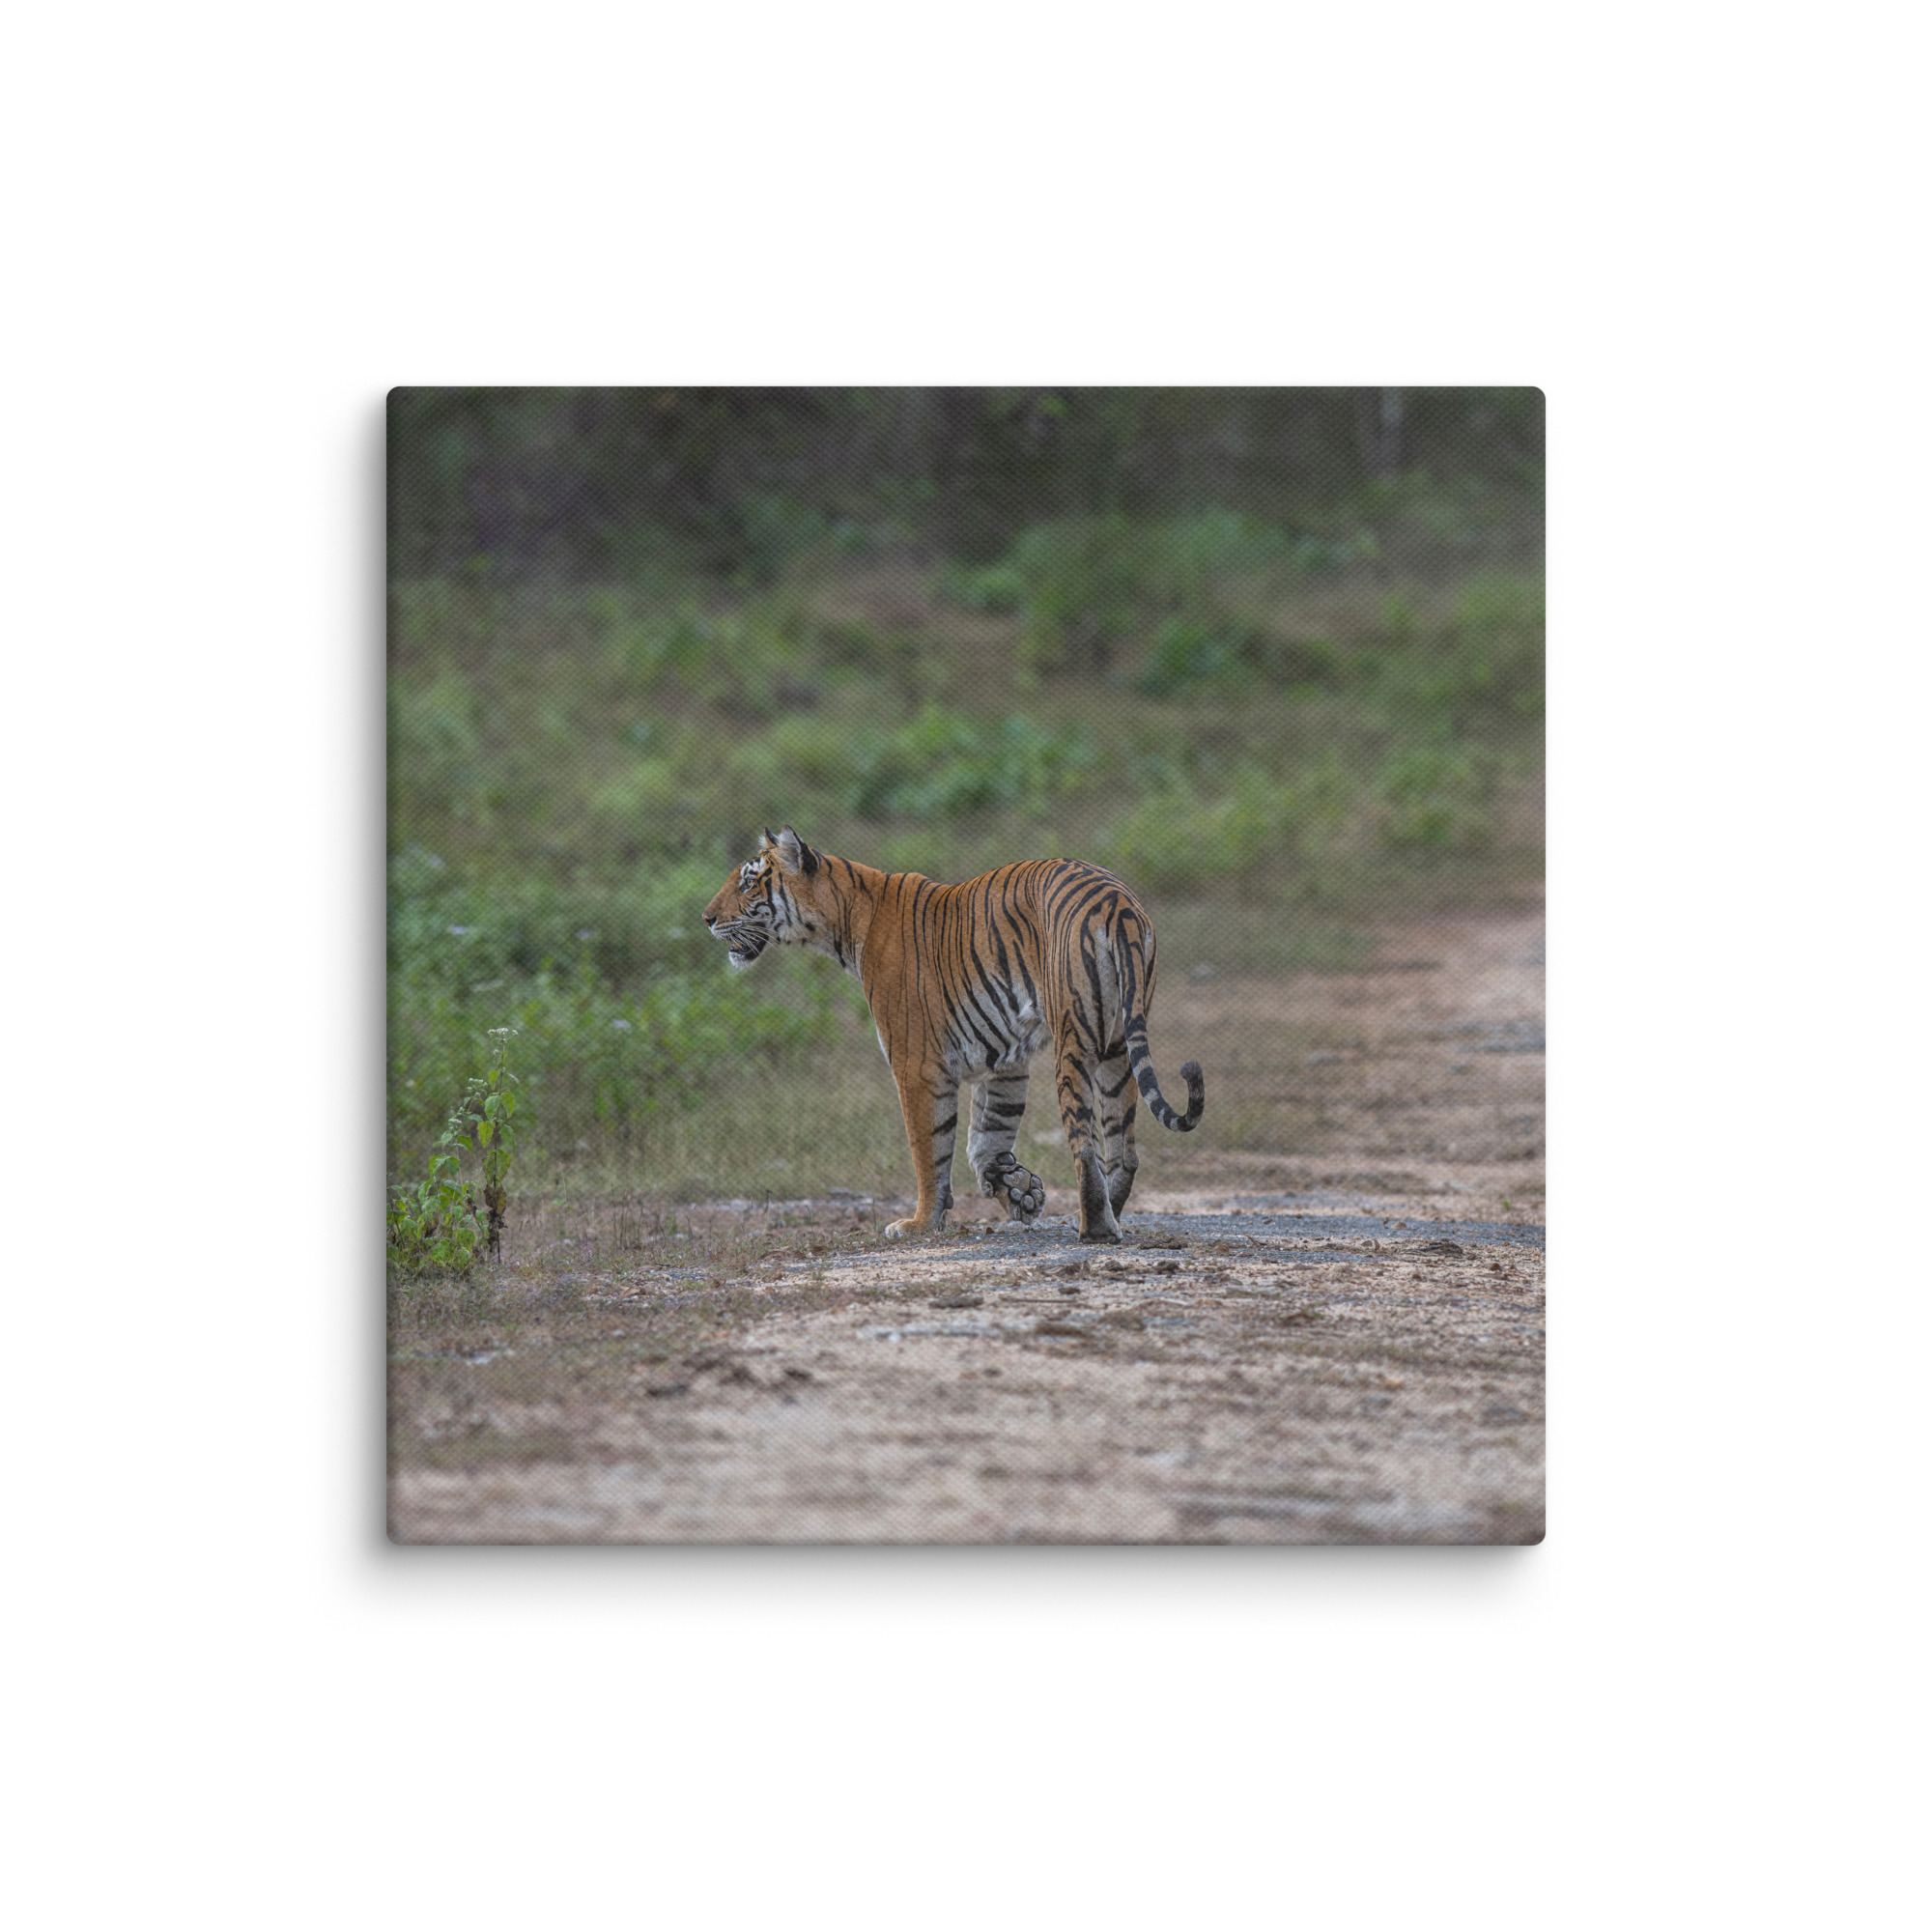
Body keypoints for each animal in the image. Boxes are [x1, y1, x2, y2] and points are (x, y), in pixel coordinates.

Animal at [701, 826, 1204, 1243]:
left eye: (748, 883)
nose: (706, 918)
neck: (844, 919)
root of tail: (1117, 903)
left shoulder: (916, 1064)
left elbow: (929, 1147)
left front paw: (921, 1222)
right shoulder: (1004, 1059)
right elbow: (987, 1134)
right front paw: (1017, 1190)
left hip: (1074, 1041)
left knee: (1084, 1144)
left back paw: (1094, 1228)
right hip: (1118, 1046)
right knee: (1124, 1149)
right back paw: (1107, 1214)